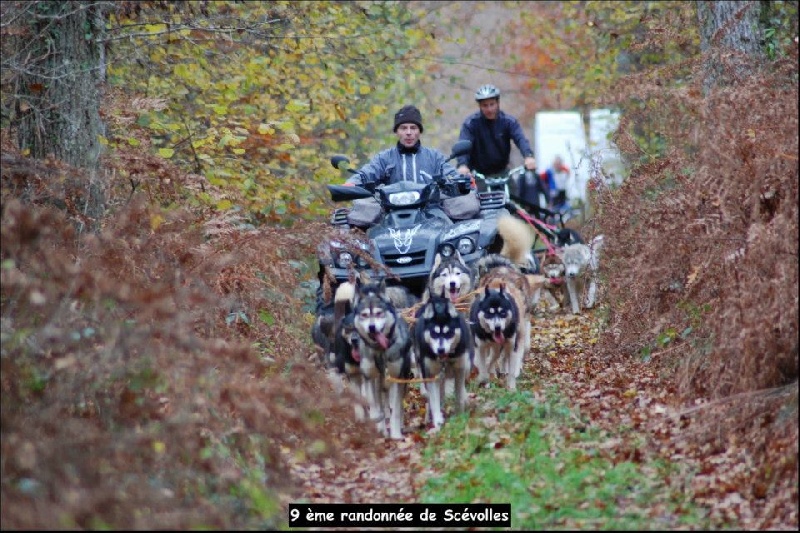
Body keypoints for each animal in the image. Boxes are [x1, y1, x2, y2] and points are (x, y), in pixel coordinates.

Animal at [352, 276, 412, 438]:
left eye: (379, 313)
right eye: (364, 315)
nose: (372, 327)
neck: (380, 351)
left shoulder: (396, 378)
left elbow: (395, 409)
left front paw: (396, 435)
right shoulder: (370, 378)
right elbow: (375, 407)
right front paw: (379, 428)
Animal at [416, 286, 472, 428]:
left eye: (449, 333)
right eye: (434, 333)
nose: (440, 350)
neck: (445, 359)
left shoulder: (459, 370)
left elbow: (459, 394)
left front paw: (460, 414)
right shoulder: (431, 374)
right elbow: (434, 399)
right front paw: (437, 420)